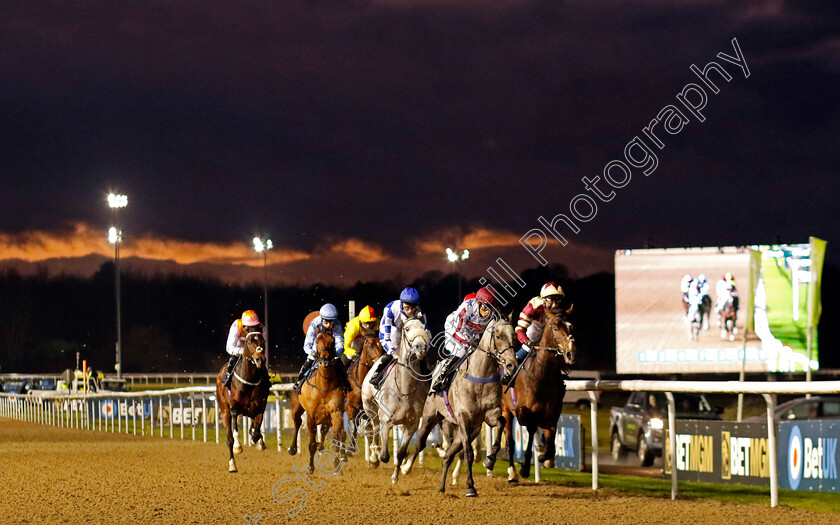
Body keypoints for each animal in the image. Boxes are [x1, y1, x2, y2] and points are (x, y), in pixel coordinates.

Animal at [213, 330, 270, 472]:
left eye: (263, 341)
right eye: (248, 342)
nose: (260, 359)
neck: (250, 380)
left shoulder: (259, 408)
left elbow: (256, 432)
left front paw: (259, 441)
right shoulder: (234, 407)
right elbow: (235, 433)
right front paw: (238, 447)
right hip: (224, 410)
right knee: (229, 438)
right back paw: (232, 464)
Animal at [288, 330, 348, 472]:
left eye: (332, 341)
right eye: (317, 340)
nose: (325, 359)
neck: (324, 386)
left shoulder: (336, 411)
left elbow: (337, 437)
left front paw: (338, 461)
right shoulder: (311, 416)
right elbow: (312, 444)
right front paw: (310, 467)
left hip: (326, 418)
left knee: (327, 432)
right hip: (296, 408)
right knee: (297, 422)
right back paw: (292, 448)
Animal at [360, 316, 430, 484]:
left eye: (423, 327)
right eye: (407, 328)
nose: (421, 348)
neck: (405, 390)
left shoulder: (412, 424)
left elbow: (401, 452)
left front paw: (396, 475)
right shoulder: (386, 421)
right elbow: (385, 455)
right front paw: (376, 457)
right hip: (370, 408)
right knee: (374, 431)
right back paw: (373, 457)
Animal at [402, 316, 516, 496]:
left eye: (515, 336)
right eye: (498, 336)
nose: (512, 364)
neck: (480, 376)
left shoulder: (490, 413)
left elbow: (501, 422)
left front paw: (490, 460)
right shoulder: (464, 417)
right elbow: (468, 453)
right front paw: (470, 487)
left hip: (468, 431)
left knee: (447, 456)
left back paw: (442, 487)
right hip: (431, 416)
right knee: (421, 444)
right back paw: (406, 468)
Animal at [502, 314, 576, 482]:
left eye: (571, 326)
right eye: (555, 327)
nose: (570, 353)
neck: (543, 376)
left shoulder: (552, 414)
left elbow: (551, 440)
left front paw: (544, 456)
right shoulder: (525, 411)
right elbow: (530, 430)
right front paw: (524, 468)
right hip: (505, 409)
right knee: (510, 441)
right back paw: (512, 472)